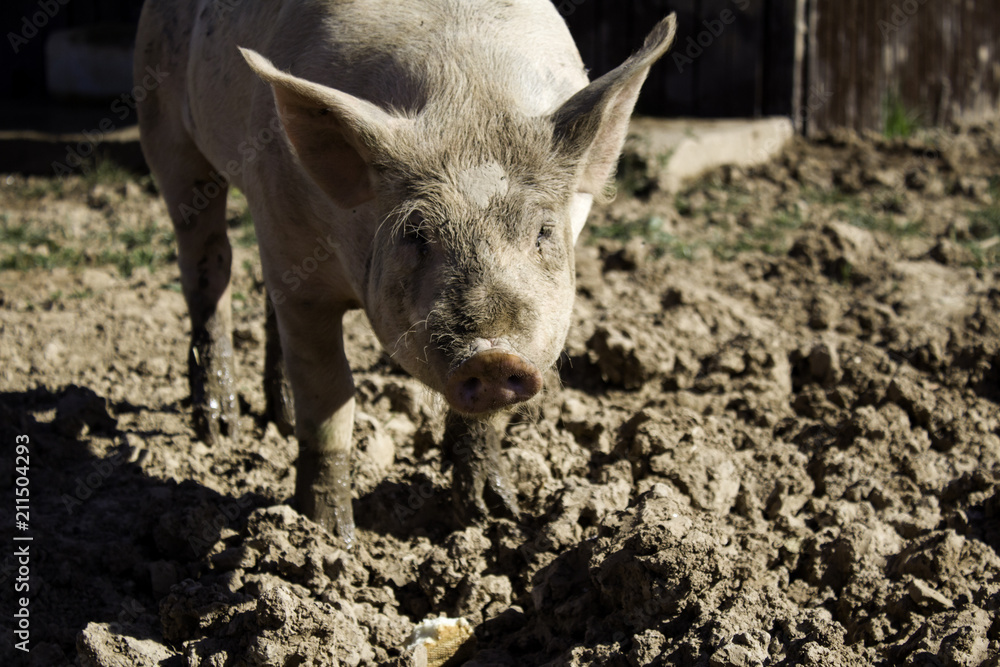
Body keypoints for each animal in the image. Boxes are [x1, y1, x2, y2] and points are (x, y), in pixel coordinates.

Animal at [135, 0, 676, 545]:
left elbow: (480, 422)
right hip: (164, 125)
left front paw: (490, 516)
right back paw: (219, 430)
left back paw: (278, 421)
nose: (494, 356)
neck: (466, 94)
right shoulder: (300, 270)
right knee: (208, 266)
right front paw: (330, 536)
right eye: (416, 234)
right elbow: (330, 395)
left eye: (543, 231)